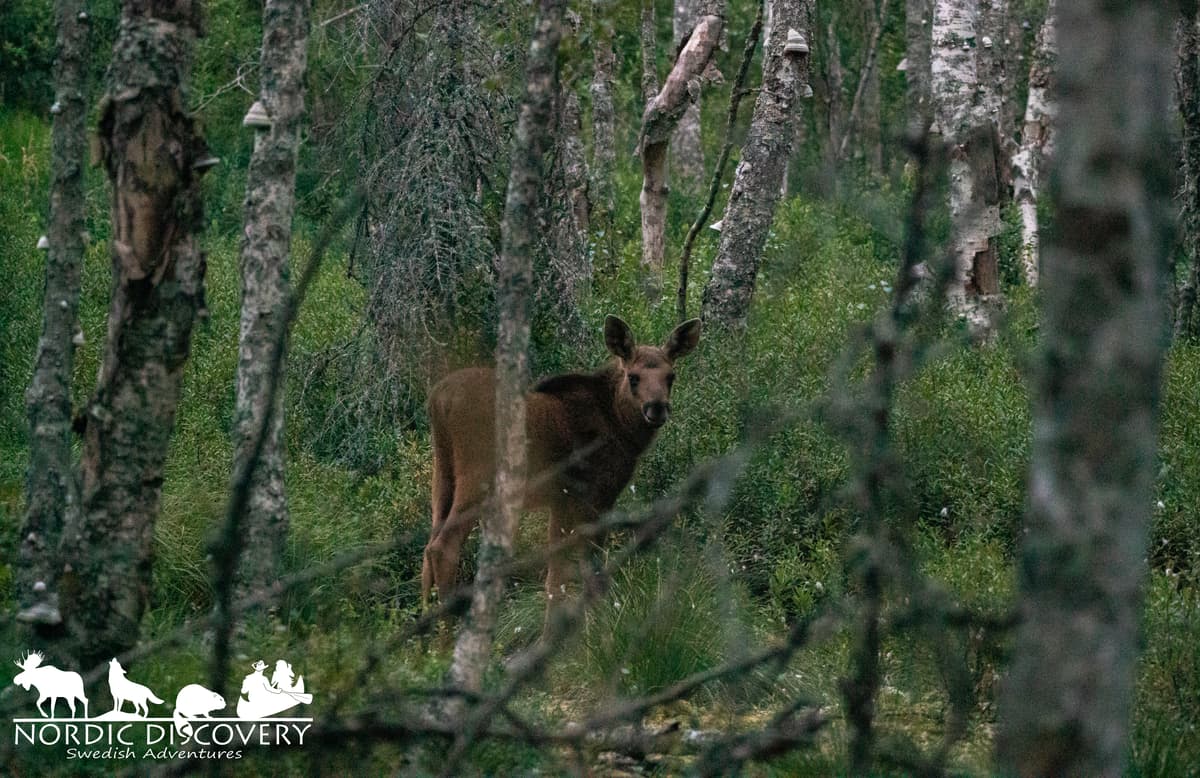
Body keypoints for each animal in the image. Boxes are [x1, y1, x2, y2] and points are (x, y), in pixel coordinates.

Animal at [421, 315, 701, 637]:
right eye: (633, 377)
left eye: (671, 376)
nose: (656, 408)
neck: (621, 429)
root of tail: (438, 399)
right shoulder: (596, 497)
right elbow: (587, 574)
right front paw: (597, 636)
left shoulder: (561, 501)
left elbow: (556, 579)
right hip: (476, 479)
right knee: (443, 547)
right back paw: (444, 642)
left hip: (443, 476)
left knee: (426, 550)